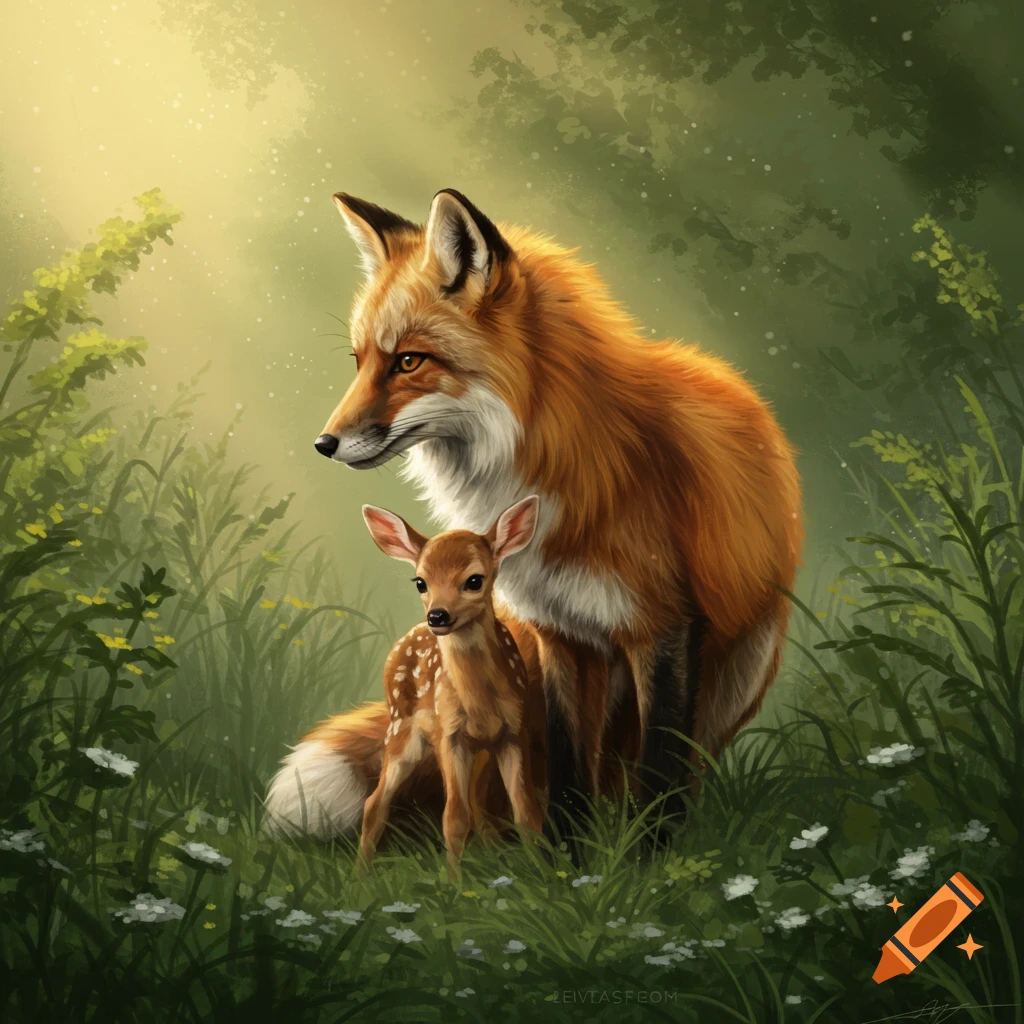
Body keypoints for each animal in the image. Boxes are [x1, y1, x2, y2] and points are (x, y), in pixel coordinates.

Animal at [358, 495, 548, 878]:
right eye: (420, 582)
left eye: (474, 580)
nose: (438, 616)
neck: (480, 703)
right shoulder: (450, 734)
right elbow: (454, 819)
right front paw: (453, 885)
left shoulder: (513, 731)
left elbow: (526, 814)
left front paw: (543, 877)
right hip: (402, 731)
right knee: (374, 804)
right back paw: (359, 878)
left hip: (479, 753)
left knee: (479, 806)